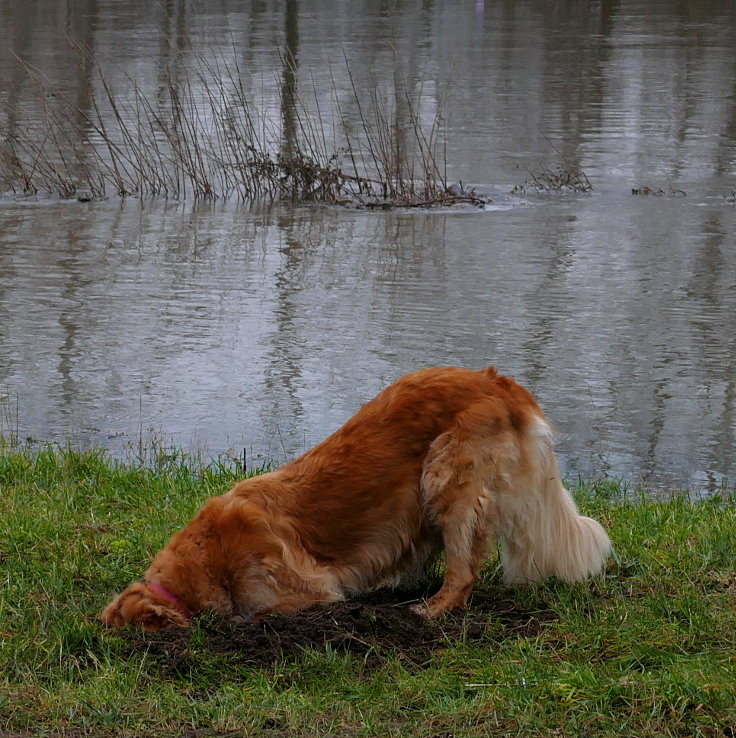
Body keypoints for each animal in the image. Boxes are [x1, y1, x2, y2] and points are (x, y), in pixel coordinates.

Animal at [102, 366, 608, 628]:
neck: (207, 554)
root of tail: (499, 382)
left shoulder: (306, 592)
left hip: (445, 480)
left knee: (463, 573)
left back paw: (432, 609)